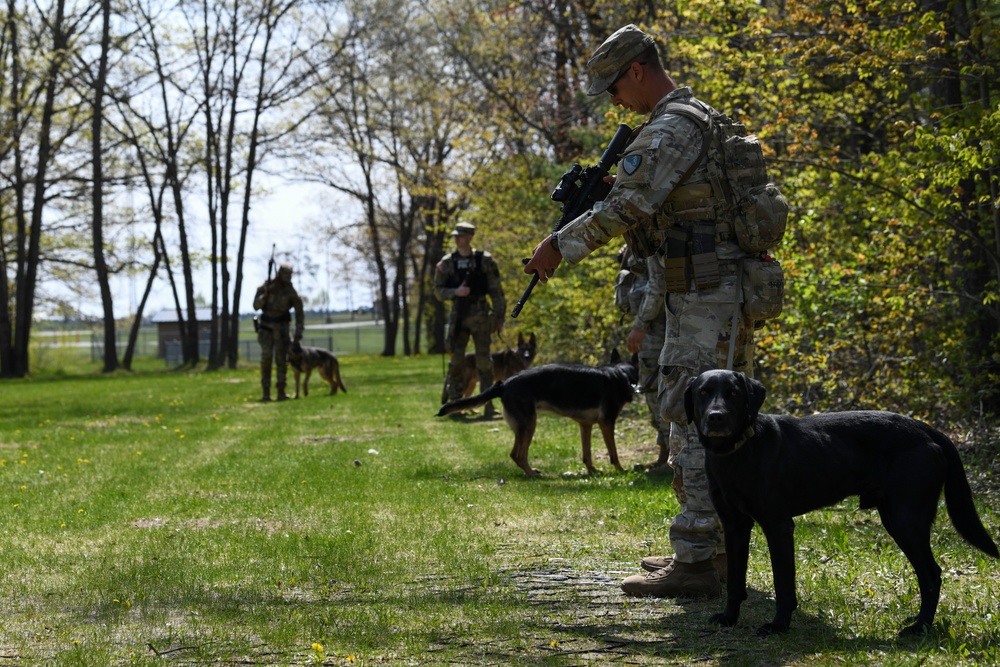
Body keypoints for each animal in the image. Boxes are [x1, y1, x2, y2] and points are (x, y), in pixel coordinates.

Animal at [440, 352, 640, 478]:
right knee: (519, 455)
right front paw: (621, 470)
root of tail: (504, 383)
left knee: (514, 454)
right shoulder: (607, 423)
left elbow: (587, 453)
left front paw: (592, 470)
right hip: (530, 425)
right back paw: (532, 474)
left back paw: (530, 472)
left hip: (522, 427)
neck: (621, 374)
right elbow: (613, 452)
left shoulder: (585, 425)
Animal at [684, 370, 996, 636]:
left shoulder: (778, 526)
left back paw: (920, 628)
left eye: (734, 394)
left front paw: (779, 626)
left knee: (931, 574)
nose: (716, 417)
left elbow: (783, 584)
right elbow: (735, 580)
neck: (737, 452)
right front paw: (729, 618)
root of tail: (926, 428)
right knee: (927, 574)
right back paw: (918, 621)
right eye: (703, 392)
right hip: (894, 518)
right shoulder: (734, 526)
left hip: (907, 519)